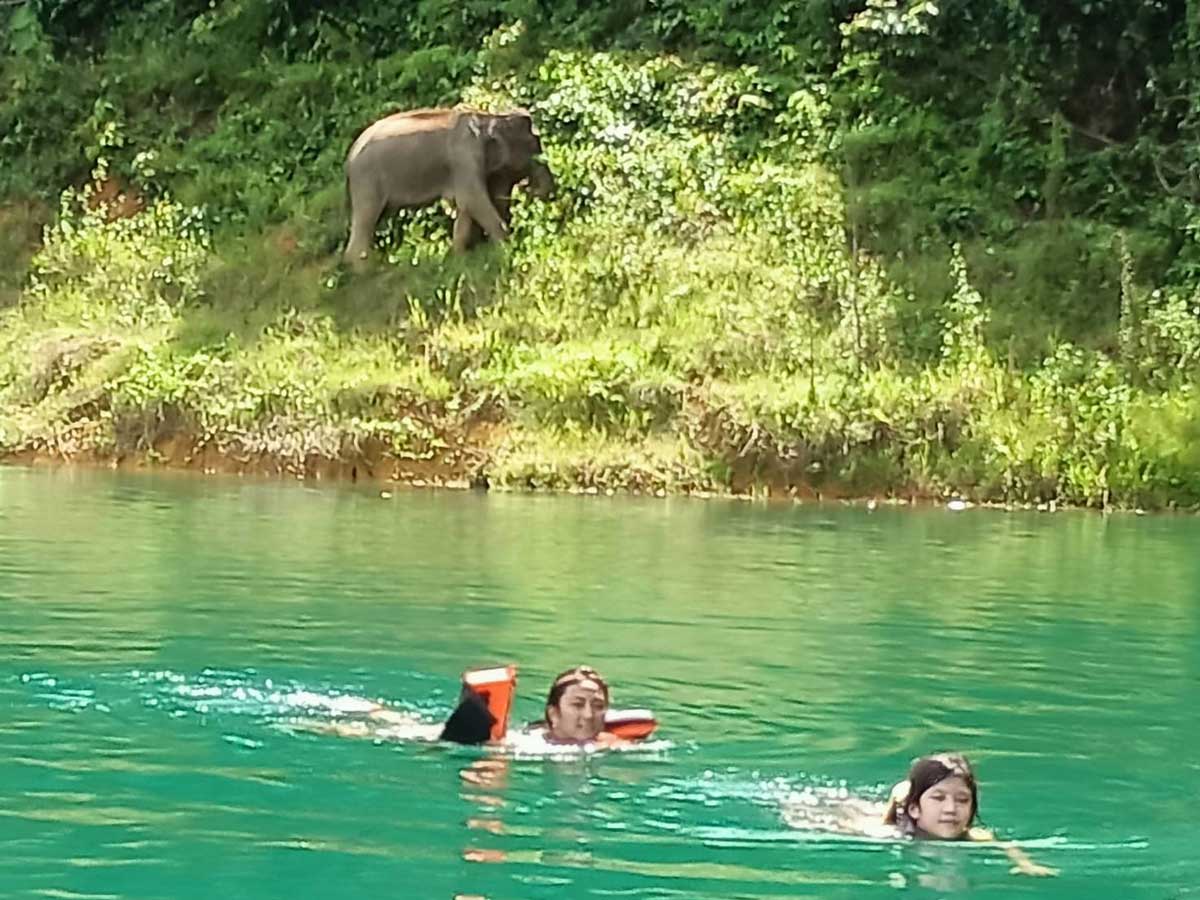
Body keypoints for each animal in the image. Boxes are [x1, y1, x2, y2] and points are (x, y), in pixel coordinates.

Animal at [345, 105, 554, 264]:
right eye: (533, 145)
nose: (528, 189)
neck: (489, 117)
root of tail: (350, 156)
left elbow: (465, 207)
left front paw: (459, 257)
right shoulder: (464, 158)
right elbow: (472, 200)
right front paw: (506, 246)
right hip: (367, 181)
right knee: (366, 219)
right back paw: (366, 270)